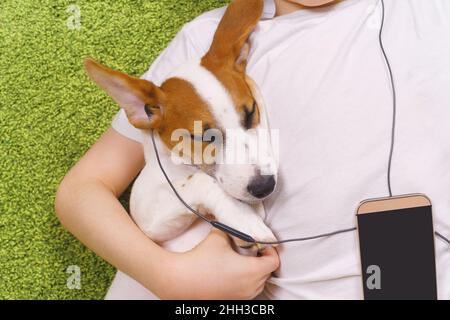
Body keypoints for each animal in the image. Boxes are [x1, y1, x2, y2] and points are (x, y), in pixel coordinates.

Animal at [82, 0, 276, 250]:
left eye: (251, 112)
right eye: (205, 137)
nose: (265, 186)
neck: (184, 166)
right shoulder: (145, 217)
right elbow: (200, 181)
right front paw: (244, 219)